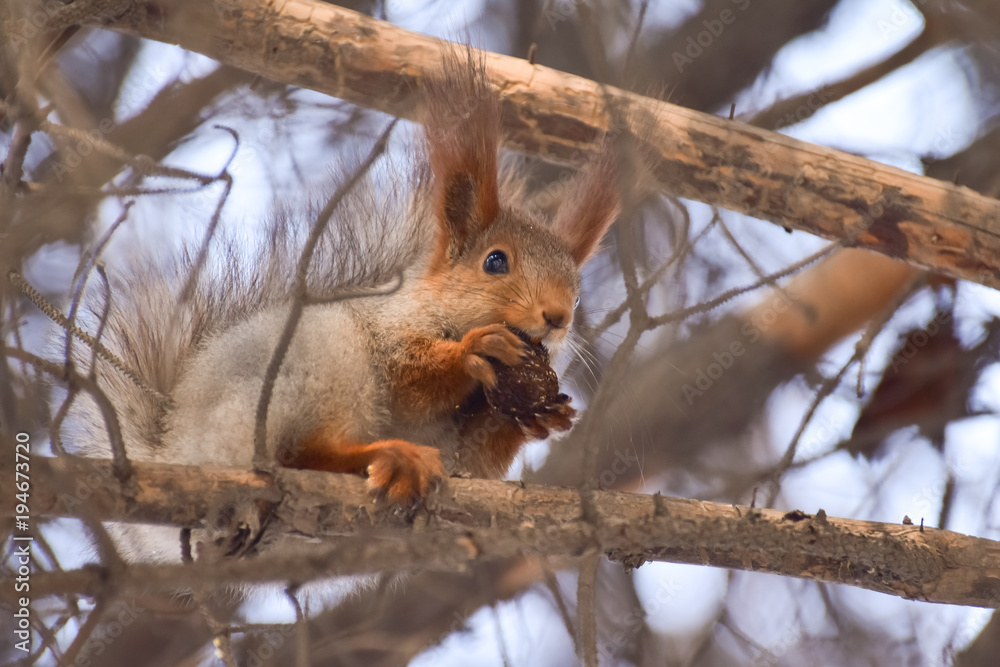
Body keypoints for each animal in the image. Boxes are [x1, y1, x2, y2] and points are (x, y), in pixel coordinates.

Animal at [60, 56, 616, 560]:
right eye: (495, 261)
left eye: (578, 291)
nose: (558, 317)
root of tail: (181, 447)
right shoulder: (388, 329)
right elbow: (407, 378)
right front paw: (476, 351)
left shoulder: (464, 447)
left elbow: (474, 461)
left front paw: (541, 416)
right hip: (315, 359)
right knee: (302, 455)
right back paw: (388, 455)